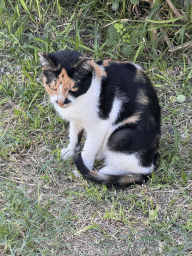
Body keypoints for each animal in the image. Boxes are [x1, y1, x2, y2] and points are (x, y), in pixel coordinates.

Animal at [39, 49, 160, 186]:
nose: (61, 101)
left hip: (123, 136)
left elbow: (89, 148)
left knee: (140, 168)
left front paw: (82, 169)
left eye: (73, 88)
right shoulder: (76, 120)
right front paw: (70, 151)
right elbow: (74, 137)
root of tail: (154, 158)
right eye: (53, 87)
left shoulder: (100, 125)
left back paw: (105, 171)